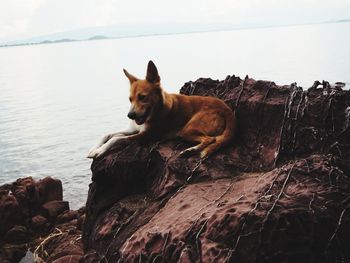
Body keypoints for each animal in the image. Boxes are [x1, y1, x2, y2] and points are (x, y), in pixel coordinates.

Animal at [87, 61, 235, 160]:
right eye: (130, 99)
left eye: (142, 97)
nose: (130, 115)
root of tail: (227, 109)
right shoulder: (132, 129)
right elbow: (107, 135)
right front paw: (94, 148)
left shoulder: (145, 136)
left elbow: (116, 139)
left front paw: (100, 151)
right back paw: (191, 150)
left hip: (187, 129)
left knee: (210, 139)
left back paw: (191, 150)